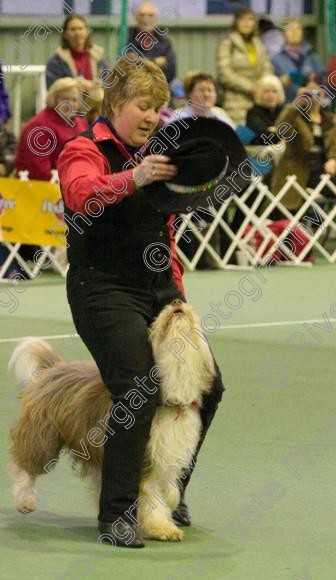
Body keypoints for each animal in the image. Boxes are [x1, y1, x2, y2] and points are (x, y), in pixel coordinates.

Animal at [9, 302, 217, 540]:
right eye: (156, 322)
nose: (176, 302)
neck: (170, 394)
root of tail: (55, 367)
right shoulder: (144, 460)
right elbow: (151, 496)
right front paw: (161, 528)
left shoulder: (166, 455)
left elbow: (167, 490)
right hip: (43, 434)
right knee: (24, 464)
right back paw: (25, 499)